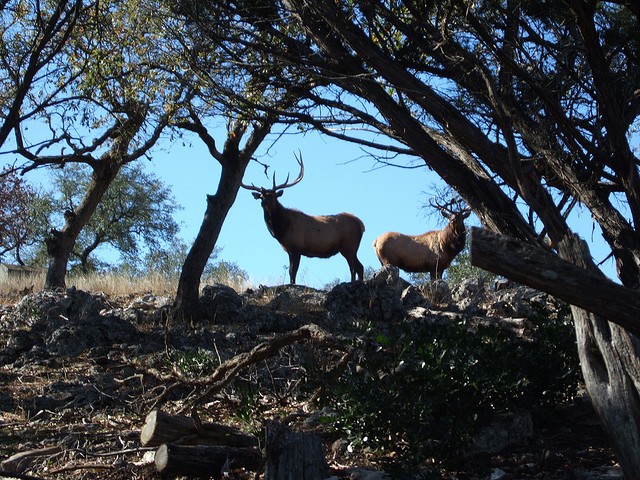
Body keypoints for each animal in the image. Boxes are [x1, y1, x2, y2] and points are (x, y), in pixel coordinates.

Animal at [241, 154, 364, 284]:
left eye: (273, 196)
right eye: (261, 196)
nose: (264, 203)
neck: (282, 229)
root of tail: (361, 224)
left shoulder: (297, 247)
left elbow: (293, 271)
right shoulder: (289, 250)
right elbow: (291, 272)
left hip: (349, 246)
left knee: (354, 267)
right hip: (348, 248)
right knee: (359, 266)